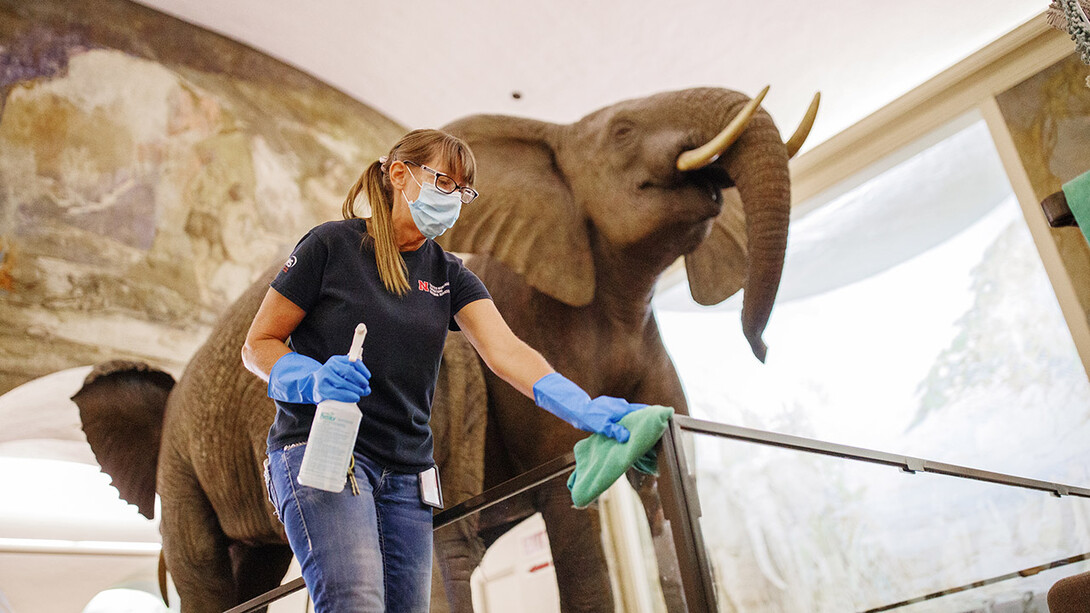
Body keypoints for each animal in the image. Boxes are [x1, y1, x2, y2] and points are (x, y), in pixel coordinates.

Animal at [72, 83, 815, 606]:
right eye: (622, 131)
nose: (762, 349)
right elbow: (567, 509)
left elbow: (656, 481)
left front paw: (627, 431)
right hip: (184, 461)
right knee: (207, 571)